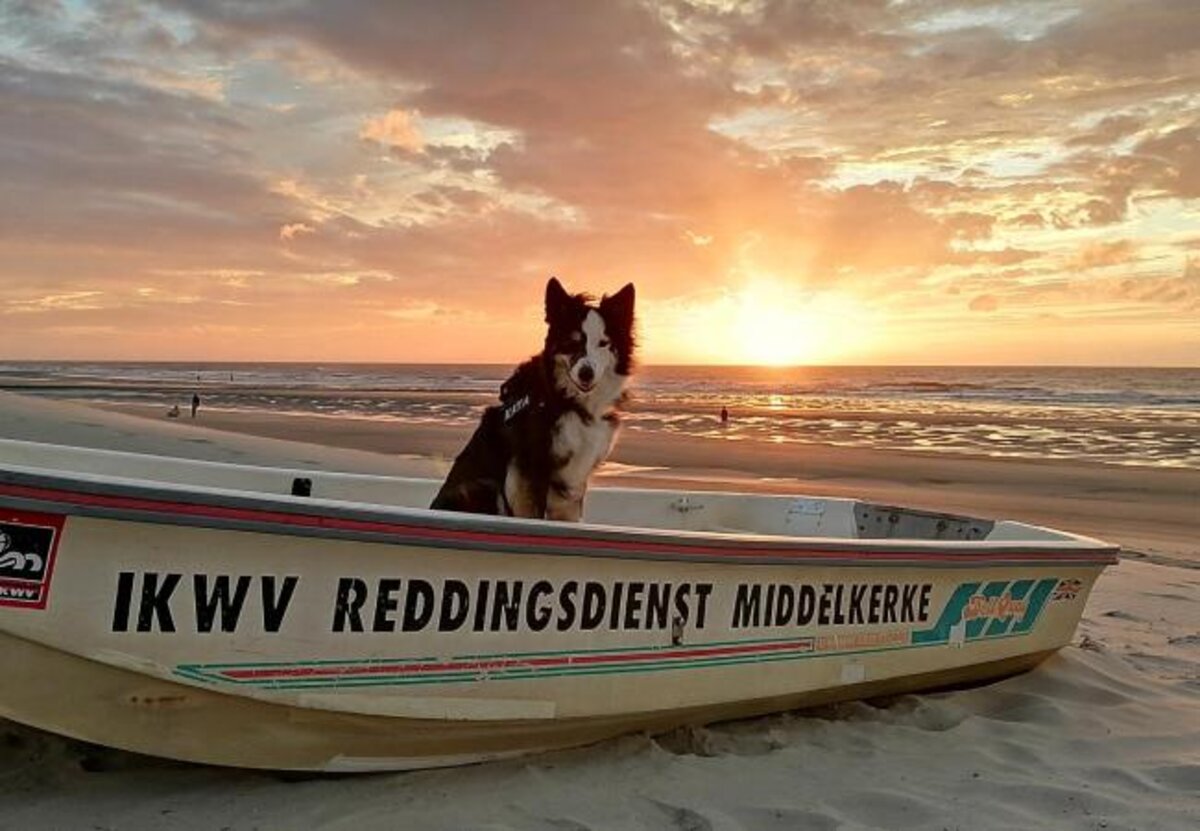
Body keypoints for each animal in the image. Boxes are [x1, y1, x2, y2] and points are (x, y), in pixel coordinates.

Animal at [432, 278, 638, 525]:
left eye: (603, 343)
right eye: (572, 342)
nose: (586, 374)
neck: (568, 400)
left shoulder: (574, 479)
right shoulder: (531, 470)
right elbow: (533, 515)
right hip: (481, 487)